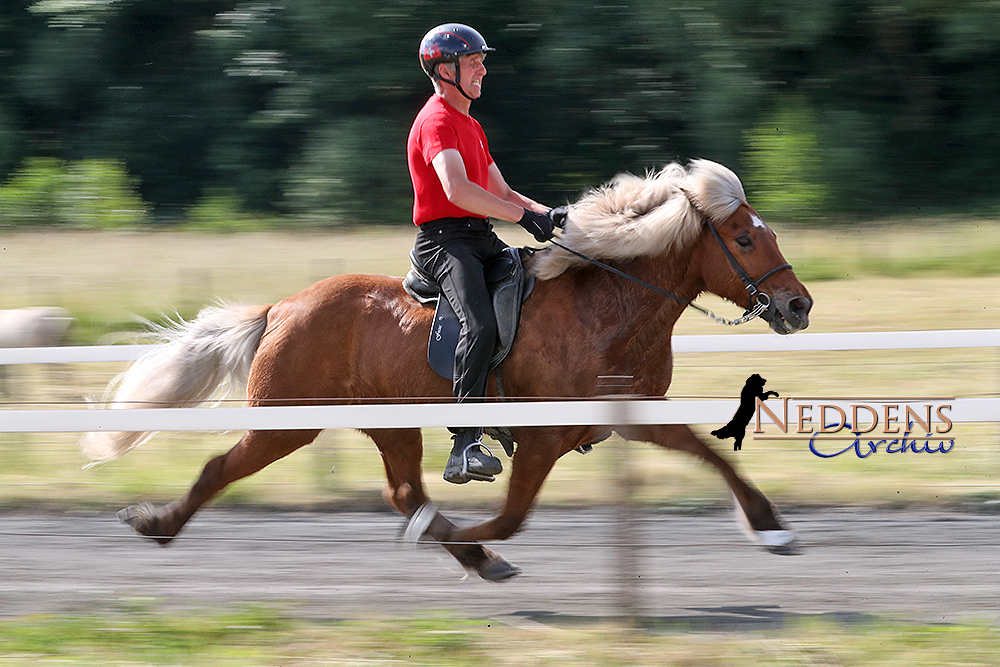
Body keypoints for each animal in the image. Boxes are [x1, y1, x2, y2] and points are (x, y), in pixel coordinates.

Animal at [80, 160, 812, 580]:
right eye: (744, 238)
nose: (798, 305)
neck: (609, 303)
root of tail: (282, 308)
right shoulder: (544, 436)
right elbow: (512, 514)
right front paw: (468, 534)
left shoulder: (629, 416)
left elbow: (712, 457)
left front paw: (771, 526)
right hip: (287, 422)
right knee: (220, 468)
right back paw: (158, 523)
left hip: (390, 425)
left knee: (404, 491)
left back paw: (464, 552)